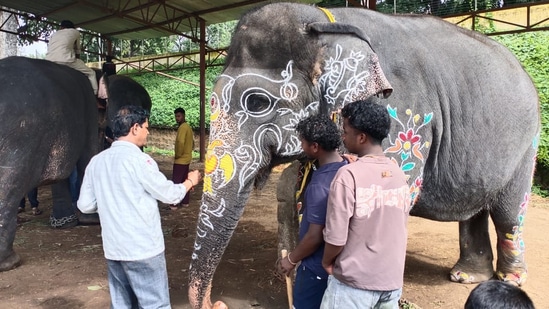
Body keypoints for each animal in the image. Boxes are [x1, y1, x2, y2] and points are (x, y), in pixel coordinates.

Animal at [186, 3, 536, 308]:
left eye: (257, 102)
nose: (217, 302)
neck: (325, 24)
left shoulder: (402, 113)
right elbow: (299, 189)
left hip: (527, 144)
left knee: (508, 213)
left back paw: (510, 280)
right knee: (475, 211)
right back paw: (466, 276)